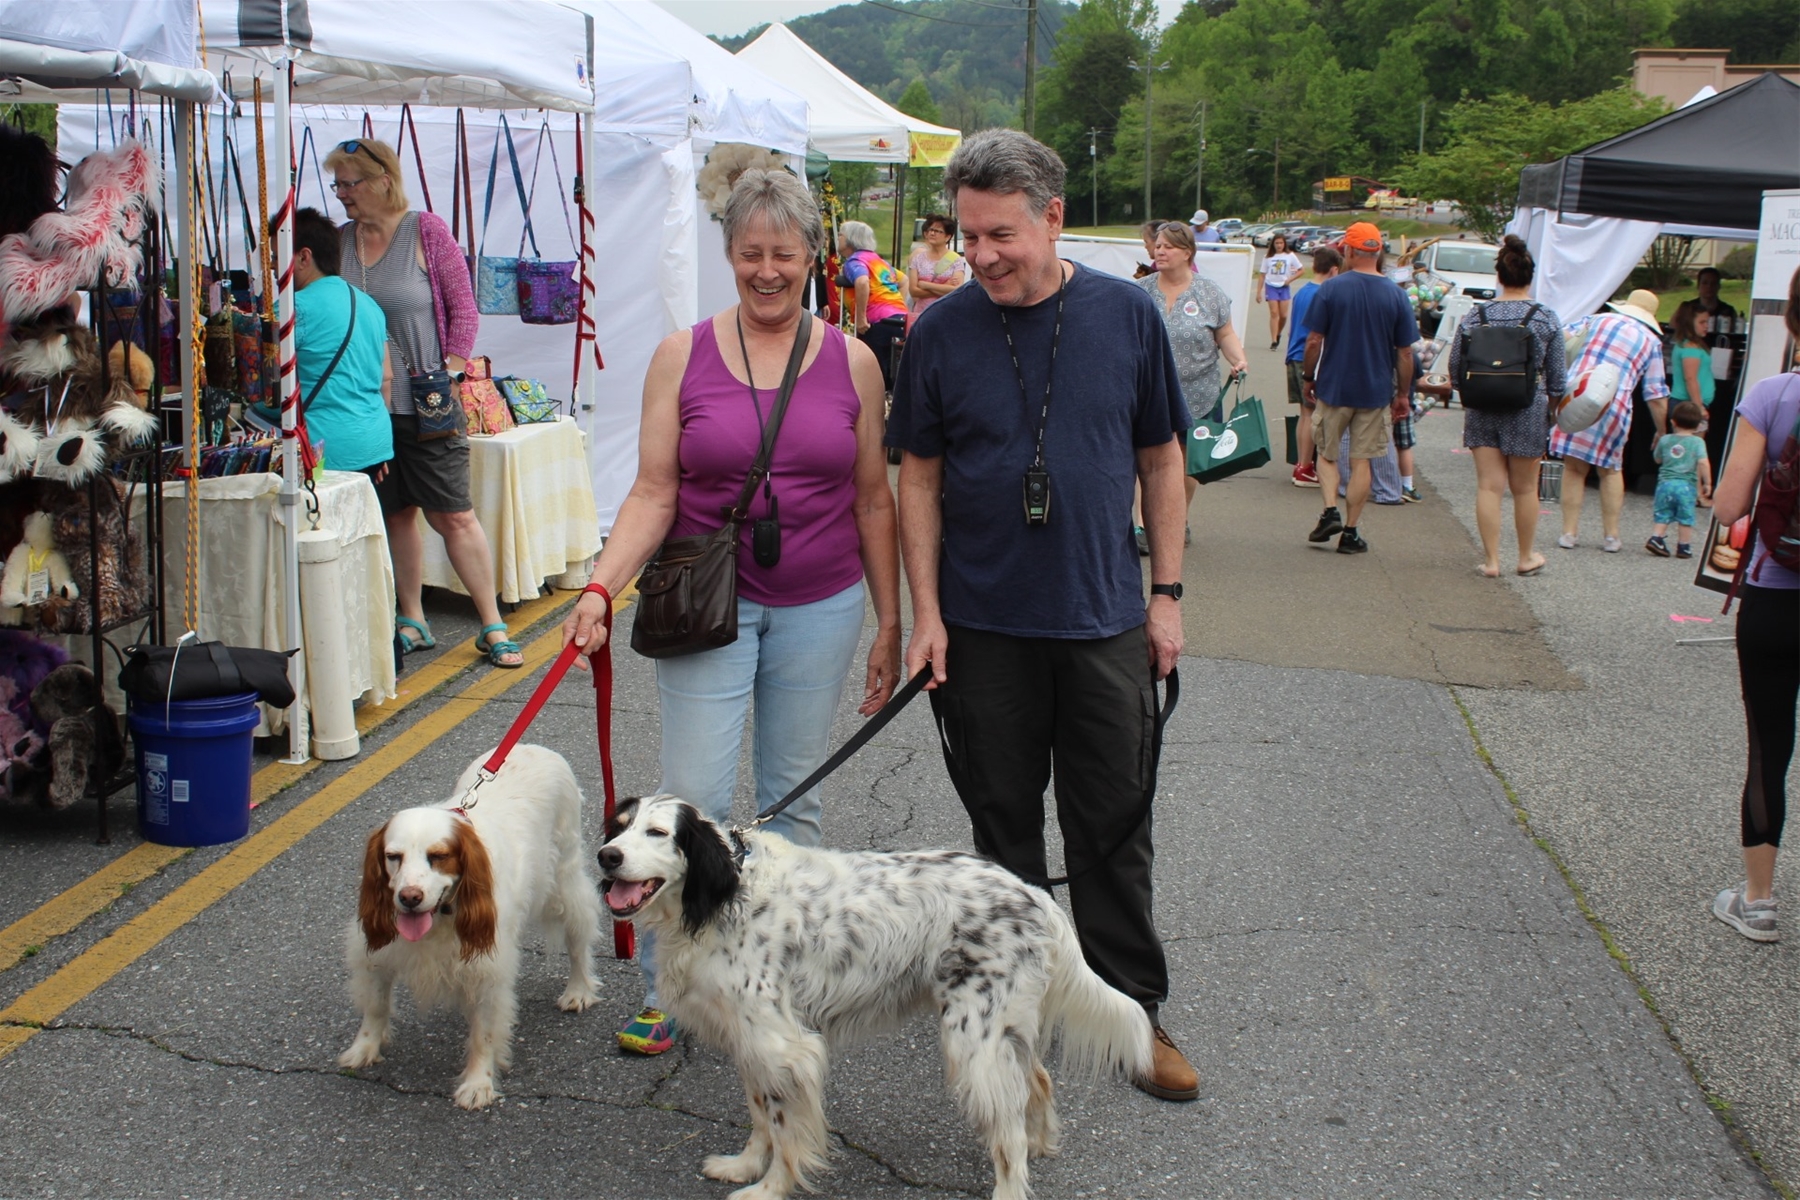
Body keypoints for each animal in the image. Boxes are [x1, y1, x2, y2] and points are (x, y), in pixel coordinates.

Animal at [340, 744, 608, 1115]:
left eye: (437, 856)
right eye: (393, 856)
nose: (409, 898)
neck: (442, 917)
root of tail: (532, 747)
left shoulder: (487, 971)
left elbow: (484, 1034)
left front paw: (478, 1084)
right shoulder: (380, 953)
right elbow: (375, 1007)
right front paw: (364, 1048)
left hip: (563, 881)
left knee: (579, 936)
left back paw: (579, 989)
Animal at [597, 798, 1144, 1200]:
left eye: (657, 832)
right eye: (619, 828)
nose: (607, 856)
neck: (726, 896)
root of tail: (1035, 895)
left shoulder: (786, 1048)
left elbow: (785, 1130)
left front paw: (769, 1189)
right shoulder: (749, 1041)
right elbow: (760, 1117)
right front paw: (744, 1166)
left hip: (972, 1042)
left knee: (1006, 1130)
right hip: (1000, 1033)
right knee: (1036, 1083)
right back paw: (1040, 1141)